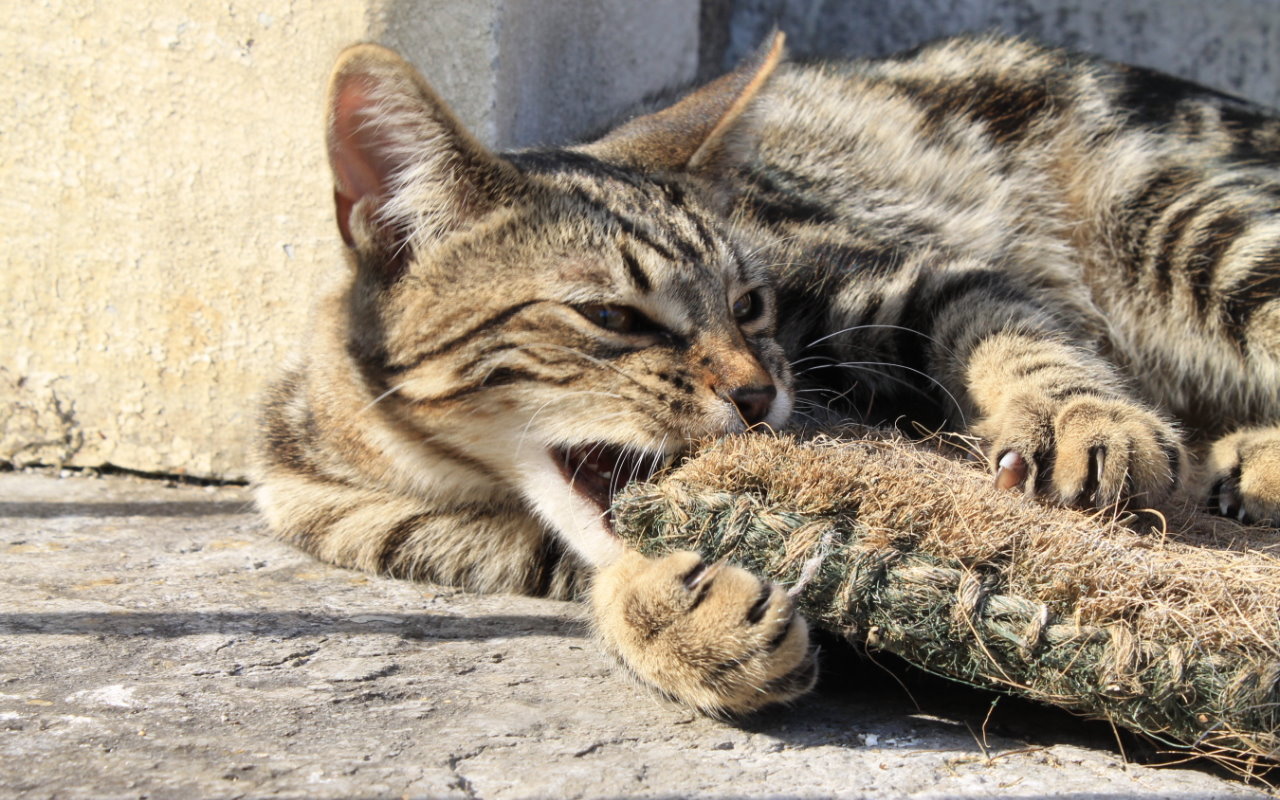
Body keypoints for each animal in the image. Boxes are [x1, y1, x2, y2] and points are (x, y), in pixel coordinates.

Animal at [252, 34, 1280, 716]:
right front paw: (671, 611)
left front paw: (1080, 418)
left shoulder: (907, 273)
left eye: (750, 303)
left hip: (1185, 223)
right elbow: (588, 552)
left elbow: (1011, 332)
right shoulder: (367, 519)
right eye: (612, 318)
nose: (756, 392)